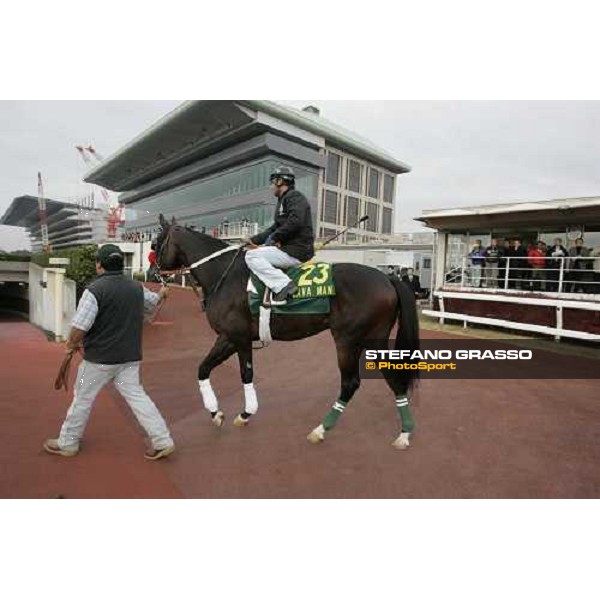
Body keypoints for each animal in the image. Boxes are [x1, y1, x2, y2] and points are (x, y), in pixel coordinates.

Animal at [158, 213, 422, 448]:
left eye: (157, 242)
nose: (153, 272)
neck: (224, 275)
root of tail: (387, 279)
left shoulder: (237, 336)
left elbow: (245, 373)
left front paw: (243, 413)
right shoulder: (230, 338)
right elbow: (203, 368)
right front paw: (216, 413)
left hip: (349, 339)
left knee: (350, 383)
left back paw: (321, 429)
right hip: (373, 340)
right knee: (392, 377)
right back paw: (404, 433)